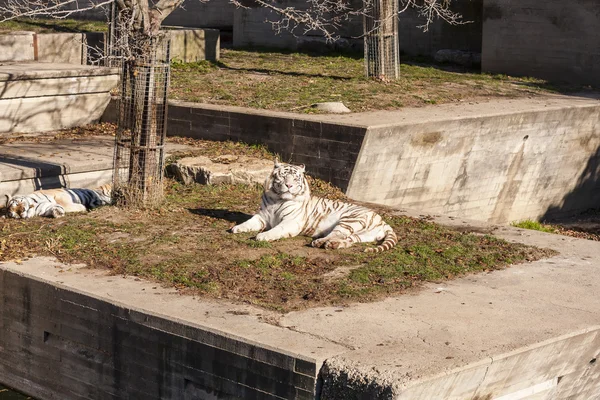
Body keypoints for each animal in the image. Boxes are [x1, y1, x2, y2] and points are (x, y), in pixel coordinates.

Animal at [231, 158, 398, 252]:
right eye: (284, 176)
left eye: (295, 178)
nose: (289, 185)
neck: (277, 198)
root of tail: (383, 221)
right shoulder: (262, 217)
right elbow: (249, 222)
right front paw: (236, 228)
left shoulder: (291, 222)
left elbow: (277, 230)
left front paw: (263, 236)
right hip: (362, 235)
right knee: (348, 240)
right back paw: (333, 245)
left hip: (349, 220)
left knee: (336, 234)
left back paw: (320, 242)